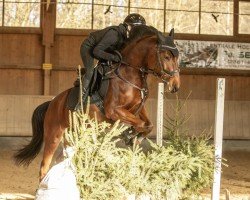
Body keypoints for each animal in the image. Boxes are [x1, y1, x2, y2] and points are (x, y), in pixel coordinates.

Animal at [14, 25, 181, 181]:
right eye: (166, 56)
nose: (175, 86)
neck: (130, 74)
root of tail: (52, 103)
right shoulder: (113, 111)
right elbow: (140, 124)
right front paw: (130, 134)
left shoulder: (138, 108)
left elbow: (148, 125)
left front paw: (135, 136)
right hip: (54, 134)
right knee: (44, 166)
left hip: (72, 136)